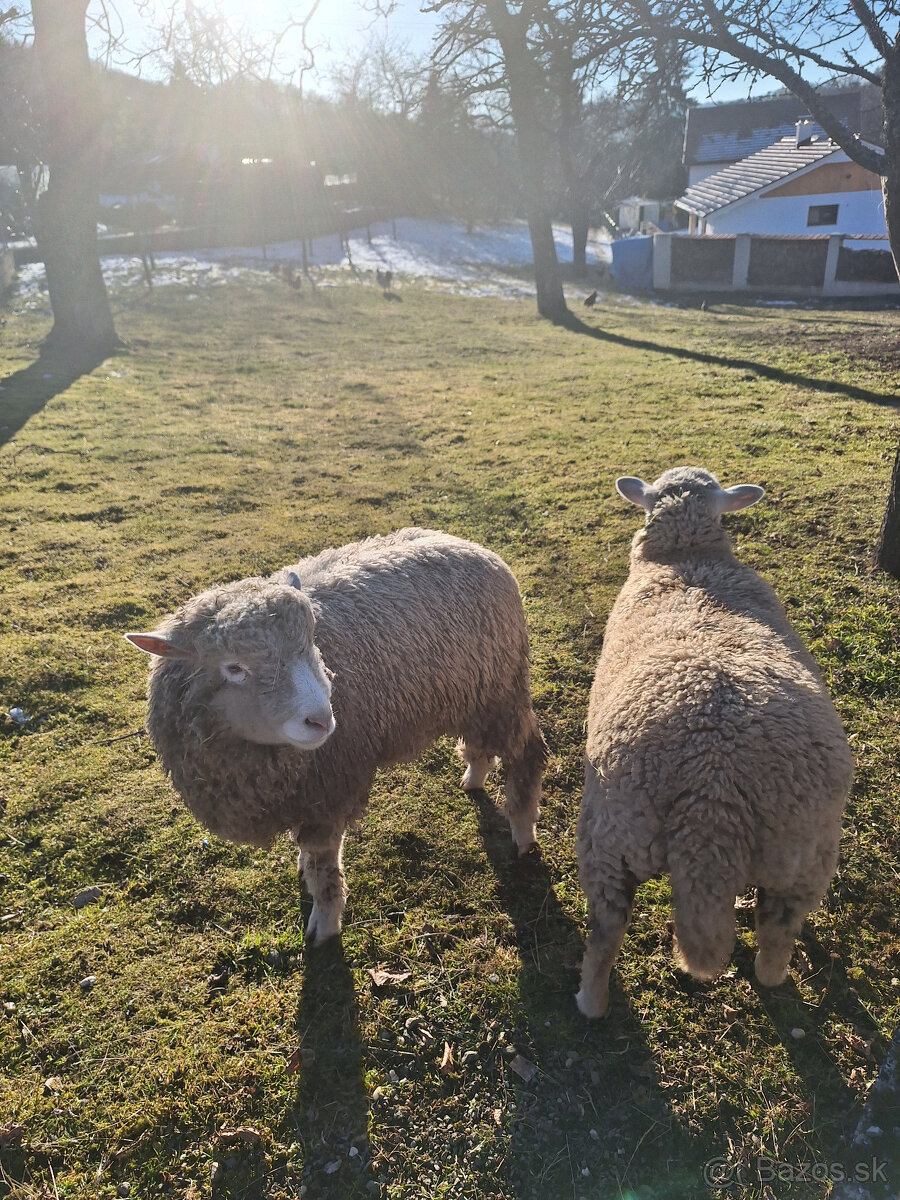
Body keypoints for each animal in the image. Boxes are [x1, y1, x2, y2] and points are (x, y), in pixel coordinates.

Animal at [125, 530, 549, 940]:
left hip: (502, 688)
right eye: (233, 668)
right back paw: (474, 778)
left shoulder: (328, 790)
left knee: (526, 753)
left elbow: (323, 863)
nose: (322, 721)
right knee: (480, 744)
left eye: (311, 643)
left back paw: (523, 830)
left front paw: (325, 922)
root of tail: (474, 547)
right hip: (473, 695)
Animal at [573, 472, 854, 1017]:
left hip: (609, 839)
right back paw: (774, 976)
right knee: (777, 934)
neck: (689, 562)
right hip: (803, 855)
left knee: (605, 932)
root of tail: (712, 793)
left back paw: (588, 1001)